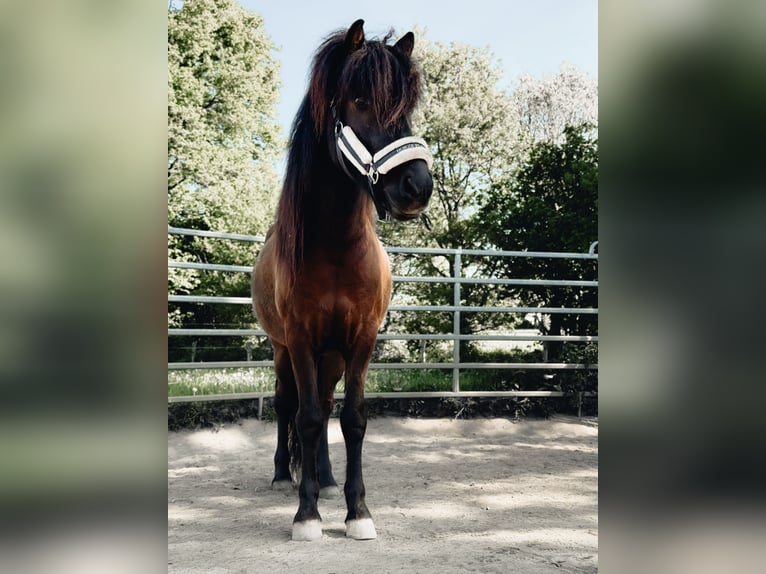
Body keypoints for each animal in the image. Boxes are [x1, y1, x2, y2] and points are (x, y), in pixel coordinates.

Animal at [251, 19, 433, 542]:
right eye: (359, 100)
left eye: (406, 107)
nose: (418, 186)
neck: (334, 250)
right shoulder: (299, 339)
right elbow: (308, 418)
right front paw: (306, 515)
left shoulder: (361, 340)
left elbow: (351, 419)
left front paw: (357, 511)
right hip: (284, 351)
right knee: (288, 405)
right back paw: (284, 476)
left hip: (330, 354)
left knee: (326, 403)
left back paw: (327, 480)